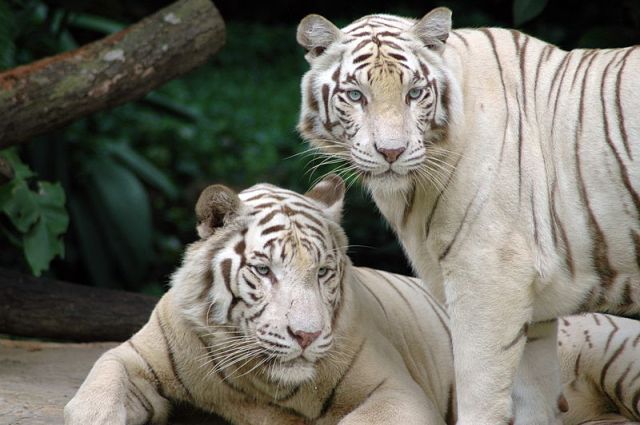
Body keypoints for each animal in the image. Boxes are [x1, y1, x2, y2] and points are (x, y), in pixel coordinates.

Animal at [296, 7, 640, 424]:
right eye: (355, 95)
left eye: (414, 93)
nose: (391, 152)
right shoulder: (536, 315)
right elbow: (534, 400)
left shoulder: (489, 278)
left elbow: (480, 393)